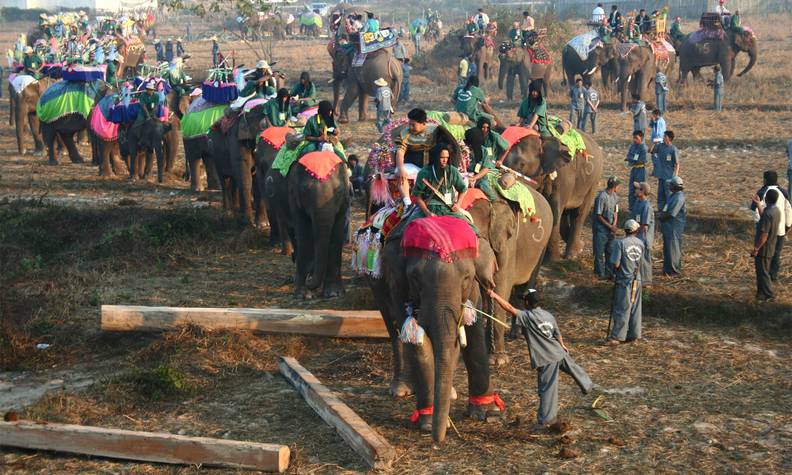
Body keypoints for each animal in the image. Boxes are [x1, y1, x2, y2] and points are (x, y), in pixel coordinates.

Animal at [284, 150, 346, 298]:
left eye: (339, 191)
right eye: (305, 191)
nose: (309, 280)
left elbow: (337, 235)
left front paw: (334, 293)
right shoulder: (294, 199)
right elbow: (304, 235)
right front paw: (302, 295)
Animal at [504, 132, 604, 262]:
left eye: (522, 164)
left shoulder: (563, 178)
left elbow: (554, 210)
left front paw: (552, 260)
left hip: (593, 182)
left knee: (579, 213)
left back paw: (572, 255)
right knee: (565, 215)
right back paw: (579, 247)